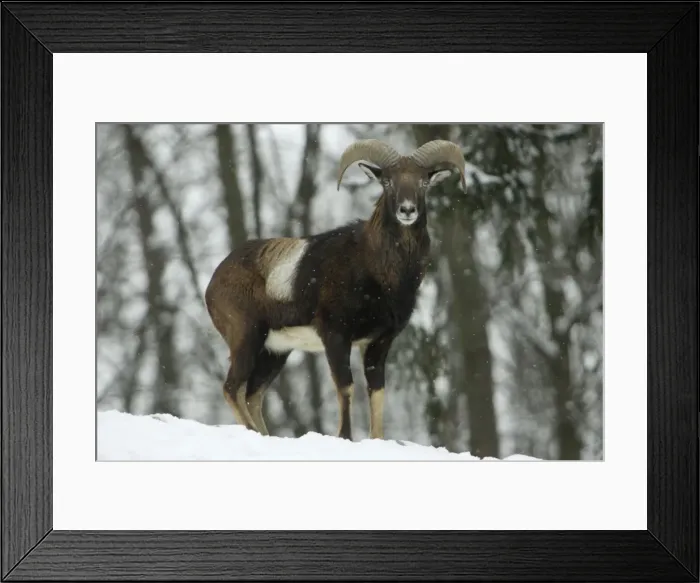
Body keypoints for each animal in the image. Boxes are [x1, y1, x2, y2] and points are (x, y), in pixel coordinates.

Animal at [205, 138, 466, 441]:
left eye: (424, 182)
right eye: (387, 182)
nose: (407, 210)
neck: (380, 273)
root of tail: (213, 283)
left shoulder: (378, 344)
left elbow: (376, 393)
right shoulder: (336, 337)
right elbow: (346, 387)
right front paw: (345, 436)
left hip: (275, 352)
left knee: (252, 395)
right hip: (247, 339)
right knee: (232, 388)